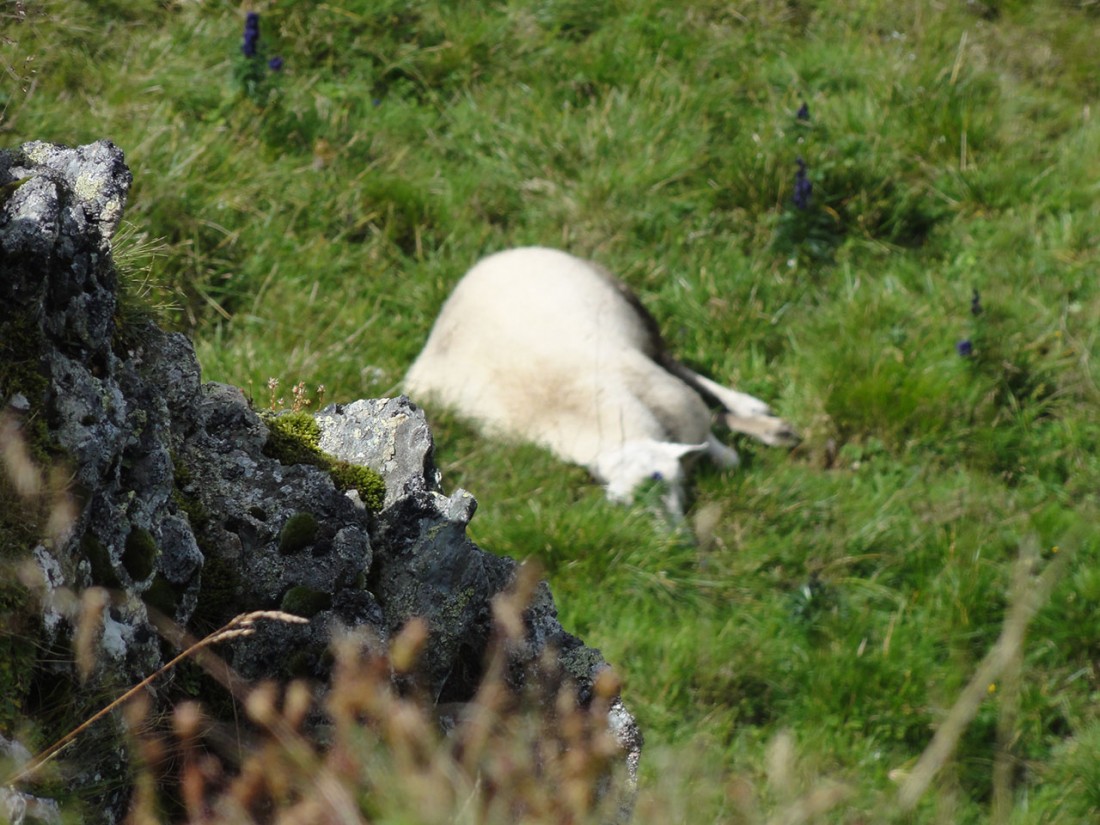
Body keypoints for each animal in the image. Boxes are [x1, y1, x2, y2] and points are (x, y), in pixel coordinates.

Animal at [404, 248, 800, 514]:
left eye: (661, 478)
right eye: (621, 504)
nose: (671, 544)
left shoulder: (680, 406)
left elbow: (722, 452)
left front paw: (743, 436)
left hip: (628, 305)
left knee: (674, 361)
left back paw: (753, 410)